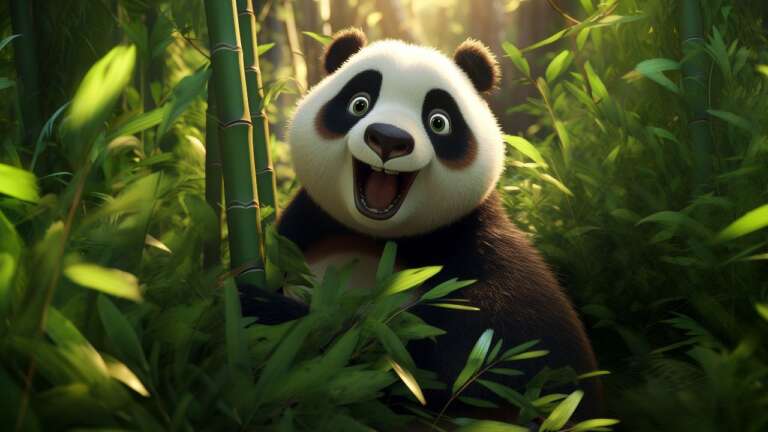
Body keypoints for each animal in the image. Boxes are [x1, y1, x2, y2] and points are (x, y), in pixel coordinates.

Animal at [246, 28, 602, 419]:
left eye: (438, 121)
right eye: (359, 103)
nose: (388, 139)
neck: (381, 237)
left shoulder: (480, 248)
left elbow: (440, 362)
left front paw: (271, 313)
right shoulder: (302, 228)